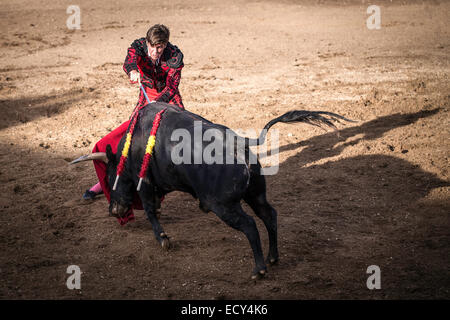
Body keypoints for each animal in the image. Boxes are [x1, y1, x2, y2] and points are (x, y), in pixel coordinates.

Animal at [73, 102, 352, 278]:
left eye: (110, 177)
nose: (114, 210)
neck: (134, 144)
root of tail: (240, 142)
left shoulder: (145, 183)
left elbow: (151, 211)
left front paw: (163, 239)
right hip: (255, 194)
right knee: (269, 215)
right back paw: (273, 257)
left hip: (222, 205)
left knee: (250, 225)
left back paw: (259, 269)